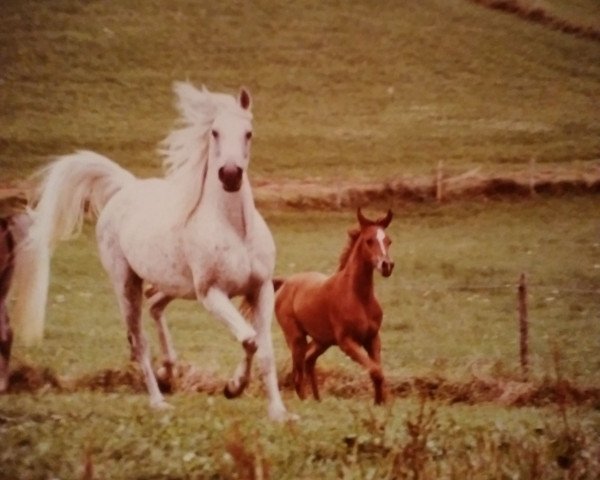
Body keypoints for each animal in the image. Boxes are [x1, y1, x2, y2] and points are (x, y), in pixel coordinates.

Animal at [12, 81, 294, 420]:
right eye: (214, 132)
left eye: (248, 133)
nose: (229, 174)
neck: (235, 230)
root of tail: (125, 189)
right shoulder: (211, 294)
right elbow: (250, 340)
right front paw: (234, 387)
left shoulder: (260, 289)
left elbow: (263, 349)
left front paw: (277, 411)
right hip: (126, 283)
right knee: (139, 339)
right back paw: (158, 398)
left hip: (173, 285)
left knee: (156, 306)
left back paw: (169, 369)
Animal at [274, 210, 394, 404]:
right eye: (369, 240)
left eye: (388, 240)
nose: (387, 266)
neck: (359, 297)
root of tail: (285, 283)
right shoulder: (347, 342)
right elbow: (375, 370)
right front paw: (379, 402)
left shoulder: (373, 339)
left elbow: (378, 372)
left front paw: (380, 403)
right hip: (296, 338)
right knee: (297, 375)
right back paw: (306, 402)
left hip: (321, 341)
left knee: (309, 361)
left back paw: (317, 400)